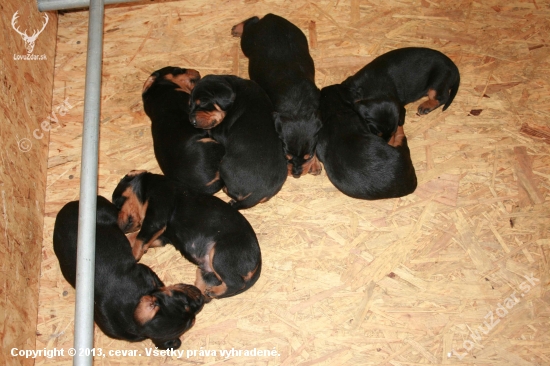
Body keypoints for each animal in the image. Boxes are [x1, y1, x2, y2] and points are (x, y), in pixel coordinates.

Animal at [112, 171, 264, 300]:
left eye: (116, 203)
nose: (116, 225)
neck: (148, 188)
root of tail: (258, 261)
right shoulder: (162, 237)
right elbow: (135, 237)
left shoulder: (156, 217)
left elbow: (140, 238)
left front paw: (132, 255)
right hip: (206, 270)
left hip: (221, 254)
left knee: (236, 283)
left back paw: (214, 292)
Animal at [232, 13, 324, 179]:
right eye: (286, 157)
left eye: (307, 156)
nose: (296, 174)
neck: (298, 108)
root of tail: (270, 17)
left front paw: (314, 163)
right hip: (248, 41)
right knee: (252, 21)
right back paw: (237, 28)